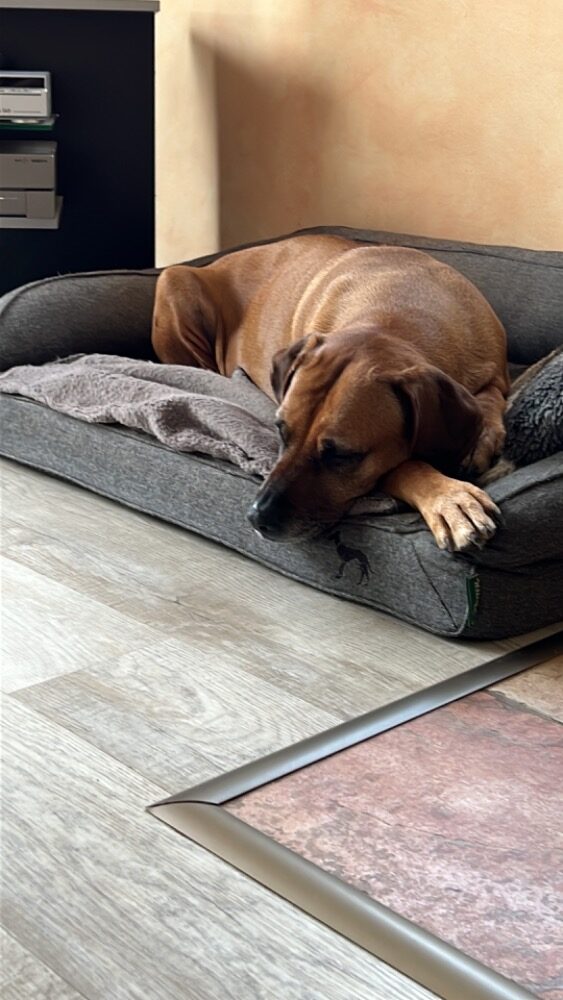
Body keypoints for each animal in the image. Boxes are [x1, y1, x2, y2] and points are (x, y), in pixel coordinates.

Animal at [152, 234, 509, 551]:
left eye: (342, 456)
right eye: (281, 431)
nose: (257, 517)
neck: (397, 315)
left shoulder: (494, 371)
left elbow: (491, 400)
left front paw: (480, 439)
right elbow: (404, 465)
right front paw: (447, 497)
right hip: (173, 280)